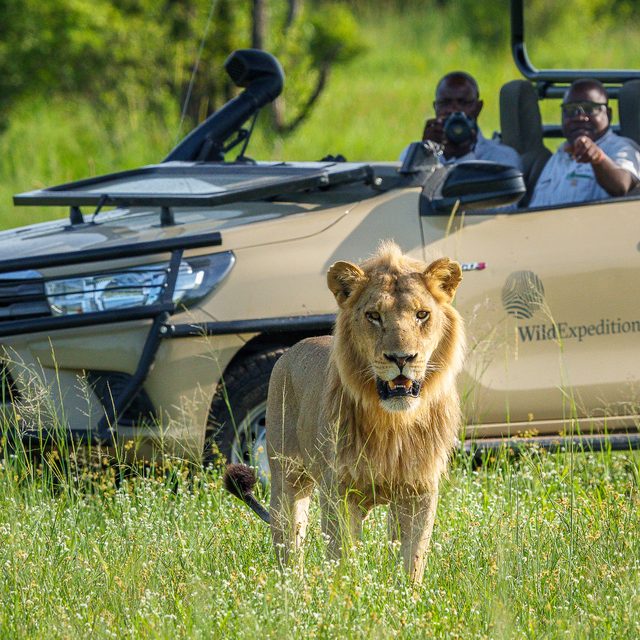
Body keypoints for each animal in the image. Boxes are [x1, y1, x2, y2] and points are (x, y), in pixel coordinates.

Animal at [224, 241, 465, 582]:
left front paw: (405, 595)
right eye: (374, 315)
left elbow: (411, 562)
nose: (401, 358)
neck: (392, 421)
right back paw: (293, 589)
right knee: (289, 544)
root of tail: (290, 350)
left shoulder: (419, 490)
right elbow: (342, 561)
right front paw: (347, 594)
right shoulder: (339, 492)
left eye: (422, 314)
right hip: (286, 480)